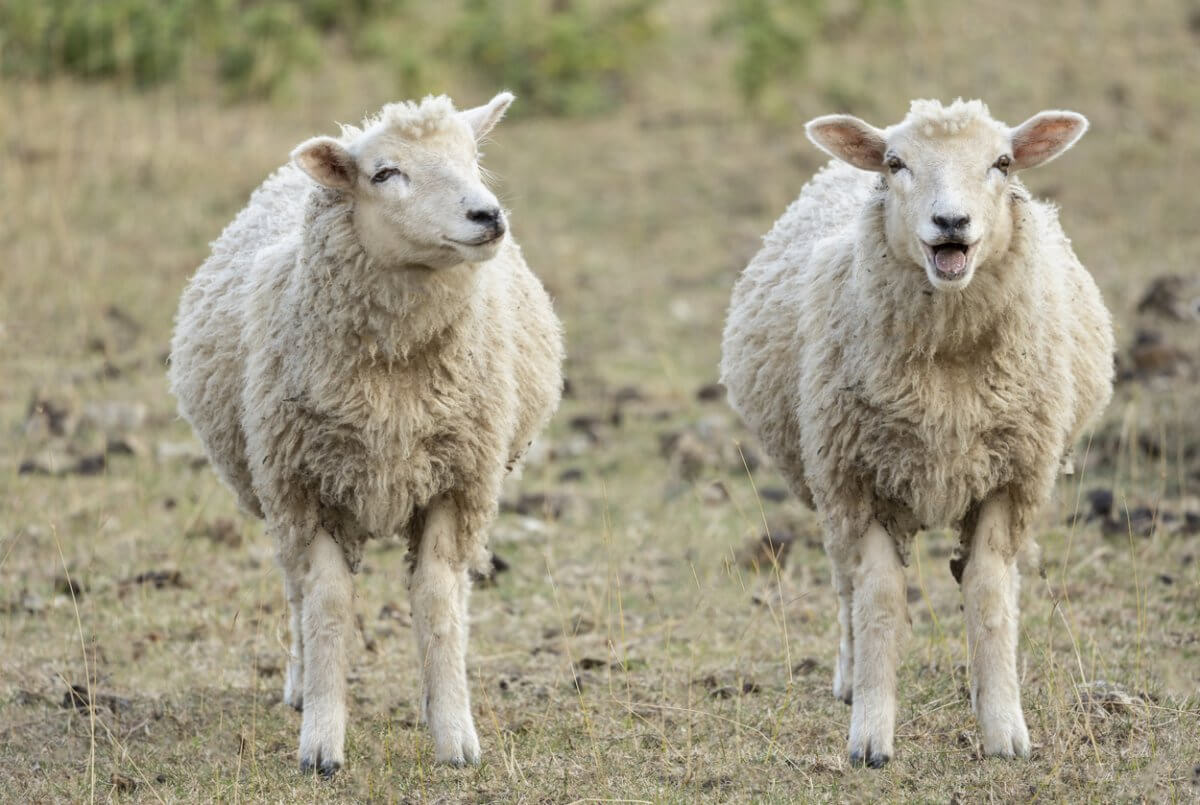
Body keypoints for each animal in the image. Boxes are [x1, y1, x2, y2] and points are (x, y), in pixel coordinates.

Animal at [166, 91, 564, 777]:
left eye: (472, 157)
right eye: (384, 173)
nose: (487, 216)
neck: (394, 386)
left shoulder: (457, 482)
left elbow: (437, 601)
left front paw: (454, 733)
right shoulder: (306, 487)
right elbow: (326, 605)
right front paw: (322, 743)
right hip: (273, 491)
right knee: (295, 591)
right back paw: (300, 687)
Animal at [715, 98, 1108, 767]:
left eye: (1003, 162)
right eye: (896, 164)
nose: (951, 222)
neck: (946, 368)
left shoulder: (1011, 478)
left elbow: (988, 595)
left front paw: (1004, 728)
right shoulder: (856, 478)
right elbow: (877, 599)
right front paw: (871, 736)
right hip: (824, 480)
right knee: (845, 583)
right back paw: (849, 680)